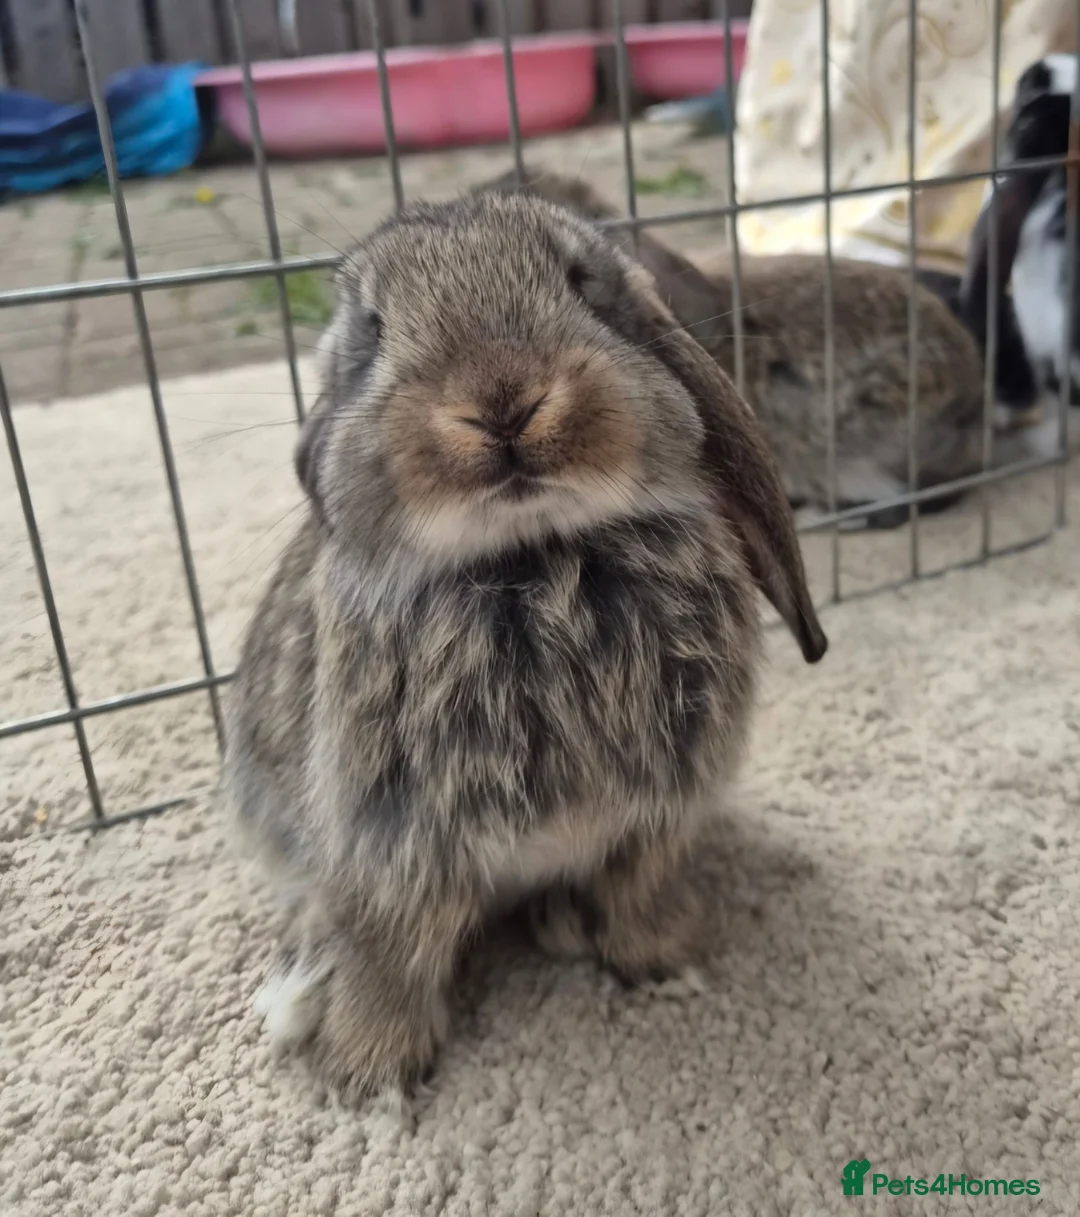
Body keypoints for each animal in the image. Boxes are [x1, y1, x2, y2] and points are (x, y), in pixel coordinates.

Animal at [224, 188, 827, 1102]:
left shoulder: (655, 822)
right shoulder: (392, 851)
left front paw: (668, 962)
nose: (502, 400)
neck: (537, 558)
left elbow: (636, 897)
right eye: (372, 329)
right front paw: (369, 1073)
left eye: (584, 285)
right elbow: (391, 955)